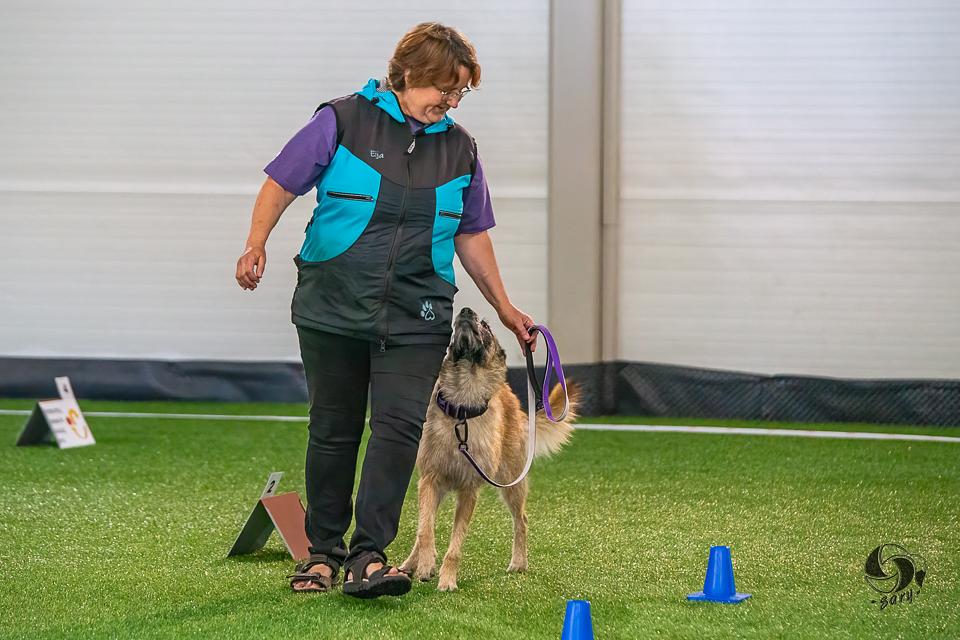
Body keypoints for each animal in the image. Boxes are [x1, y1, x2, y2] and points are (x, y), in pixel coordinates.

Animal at [402, 308, 580, 592]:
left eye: (485, 325)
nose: (465, 311)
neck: (461, 409)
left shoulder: (469, 492)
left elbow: (455, 545)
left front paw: (447, 579)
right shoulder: (429, 481)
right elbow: (424, 529)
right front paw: (427, 563)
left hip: (512, 483)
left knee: (522, 520)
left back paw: (519, 562)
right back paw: (410, 564)